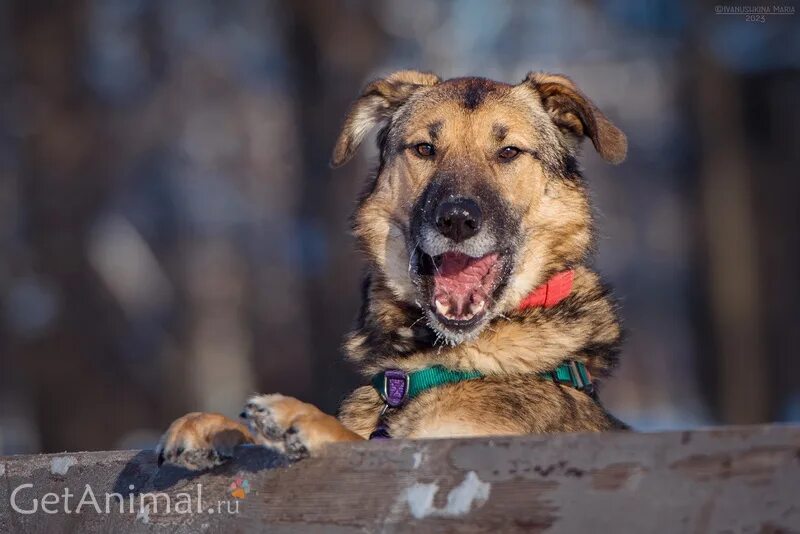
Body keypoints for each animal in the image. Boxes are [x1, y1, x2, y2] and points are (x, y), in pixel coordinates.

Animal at [158, 69, 632, 472]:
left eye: (509, 152)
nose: (456, 220)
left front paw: (300, 416)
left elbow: (354, 440)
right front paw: (217, 427)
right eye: (424, 149)